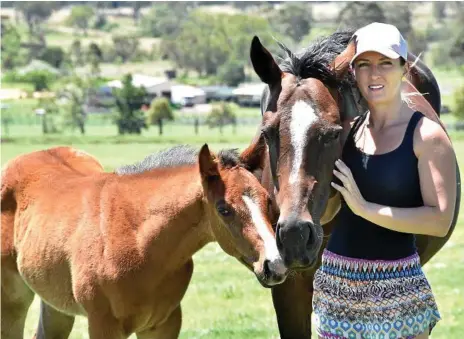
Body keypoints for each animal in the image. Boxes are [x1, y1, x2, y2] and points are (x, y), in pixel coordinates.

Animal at [1, 139, 288, 339]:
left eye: (267, 199)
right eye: (224, 209)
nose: (274, 265)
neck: (137, 241)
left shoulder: (163, 324)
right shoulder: (103, 325)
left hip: (54, 302)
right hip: (14, 300)